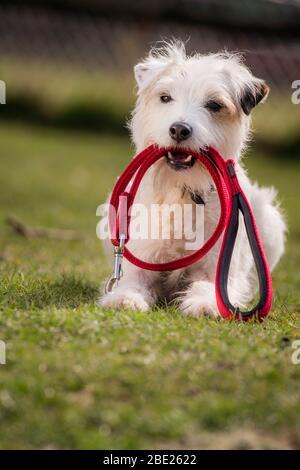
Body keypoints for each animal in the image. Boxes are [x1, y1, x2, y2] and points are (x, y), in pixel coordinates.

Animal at [99, 41, 284, 316]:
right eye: (165, 98)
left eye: (214, 105)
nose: (179, 129)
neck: (183, 191)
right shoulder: (141, 264)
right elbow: (131, 282)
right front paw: (125, 298)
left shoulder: (215, 268)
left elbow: (209, 287)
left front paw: (205, 303)